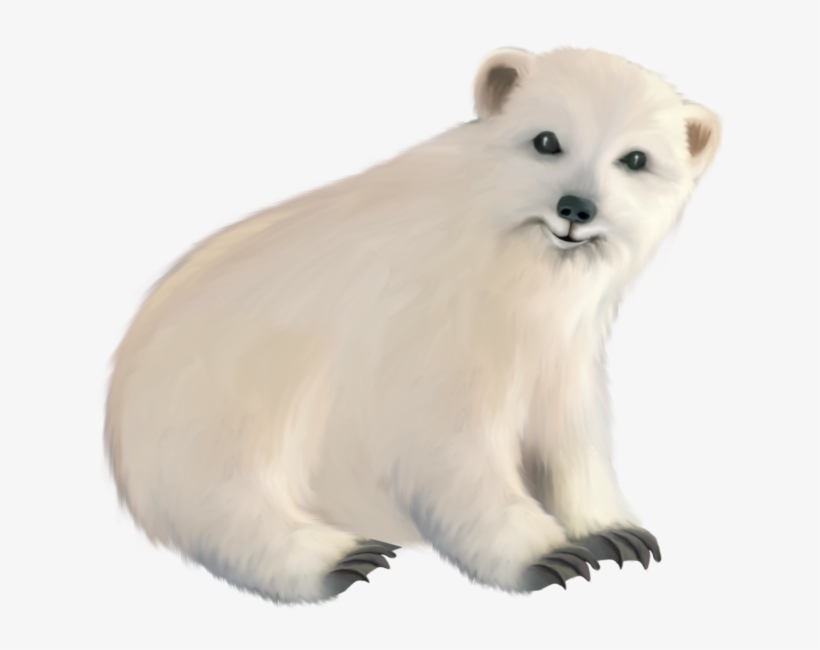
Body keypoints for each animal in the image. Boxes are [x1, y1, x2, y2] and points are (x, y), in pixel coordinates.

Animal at [105, 46, 721, 603]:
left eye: (635, 158)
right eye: (547, 140)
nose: (576, 208)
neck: (511, 271)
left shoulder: (564, 344)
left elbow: (568, 432)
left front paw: (615, 534)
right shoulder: (433, 334)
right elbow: (451, 448)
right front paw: (549, 554)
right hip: (228, 384)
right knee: (230, 485)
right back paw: (337, 555)